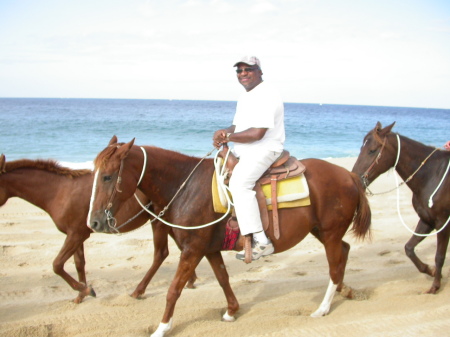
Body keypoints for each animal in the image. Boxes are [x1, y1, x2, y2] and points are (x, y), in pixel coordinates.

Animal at [0, 152, 197, 302]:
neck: (60, 192)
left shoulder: (76, 234)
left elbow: (57, 265)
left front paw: (86, 290)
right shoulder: (76, 235)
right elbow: (79, 264)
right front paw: (80, 295)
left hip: (158, 222)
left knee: (160, 254)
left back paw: (138, 291)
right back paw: (190, 280)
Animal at [87, 136, 370, 336]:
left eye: (108, 176)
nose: (94, 221)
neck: (186, 187)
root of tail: (349, 174)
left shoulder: (192, 250)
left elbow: (174, 289)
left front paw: (162, 327)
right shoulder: (209, 249)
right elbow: (223, 278)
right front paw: (232, 311)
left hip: (329, 233)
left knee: (334, 264)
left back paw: (323, 308)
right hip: (321, 231)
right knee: (344, 252)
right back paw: (344, 290)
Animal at [354, 122, 448, 292]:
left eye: (372, 150)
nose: (356, 178)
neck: (432, 174)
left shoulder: (442, 223)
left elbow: (439, 256)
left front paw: (435, 286)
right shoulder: (427, 220)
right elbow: (409, 248)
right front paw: (429, 270)